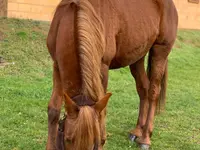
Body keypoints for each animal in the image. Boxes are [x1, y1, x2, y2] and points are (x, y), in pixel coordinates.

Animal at [46, 0, 178, 149]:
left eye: (95, 142)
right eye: (68, 139)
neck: (75, 18)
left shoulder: (102, 68)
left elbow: (102, 113)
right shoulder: (57, 66)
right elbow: (53, 110)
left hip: (161, 50)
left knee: (153, 91)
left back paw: (145, 138)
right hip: (137, 57)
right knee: (143, 88)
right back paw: (138, 130)